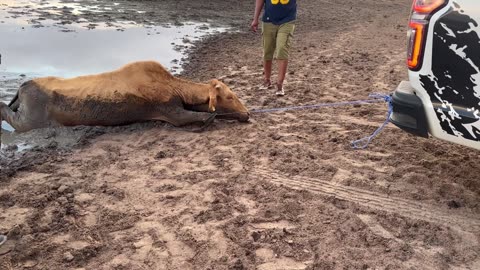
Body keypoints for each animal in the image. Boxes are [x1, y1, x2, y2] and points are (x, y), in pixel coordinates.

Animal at [1, 61, 251, 133]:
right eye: (230, 97)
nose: (247, 114)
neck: (179, 90)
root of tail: (23, 86)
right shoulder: (171, 113)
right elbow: (205, 116)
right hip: (30, 119)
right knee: (5, 109)